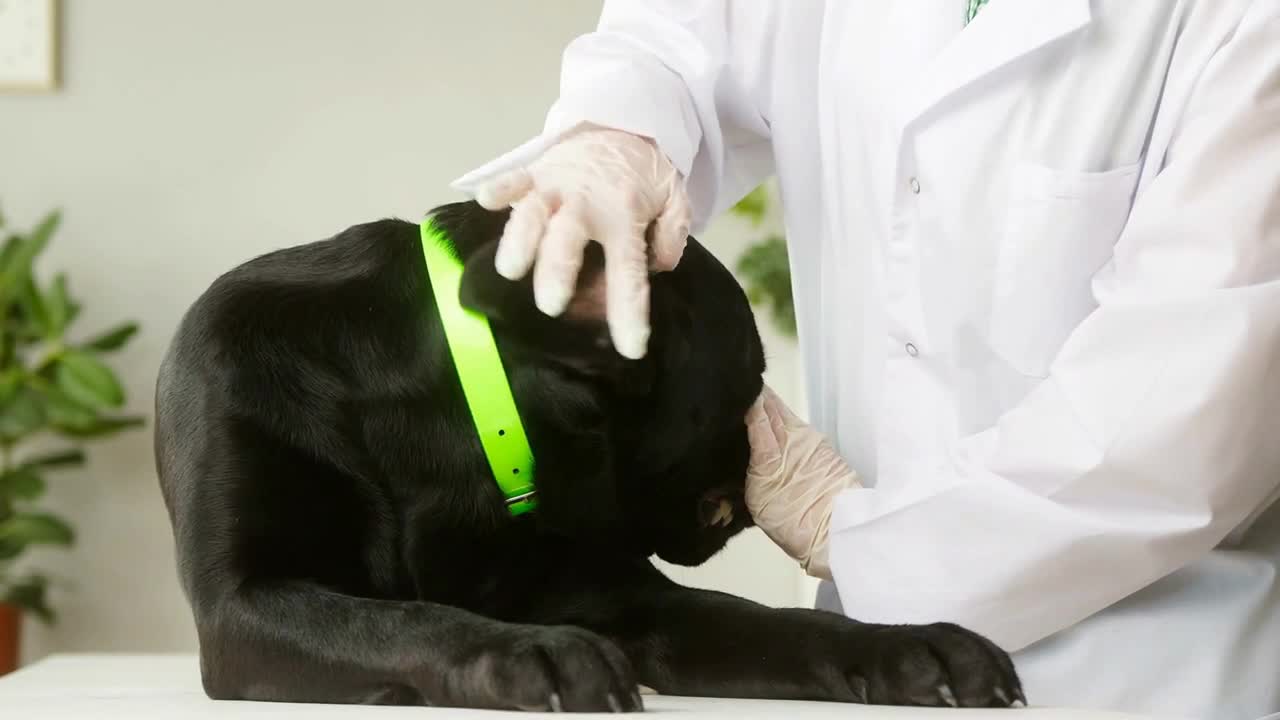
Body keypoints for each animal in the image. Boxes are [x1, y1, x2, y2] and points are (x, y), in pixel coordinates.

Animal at [154, 198, 1024, 707]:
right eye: (753, 379)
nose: (752, 498)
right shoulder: (244, 601)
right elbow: (403, 619)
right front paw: (533, 653)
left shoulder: (620, 595)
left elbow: (771, 623)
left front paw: (912, 647)